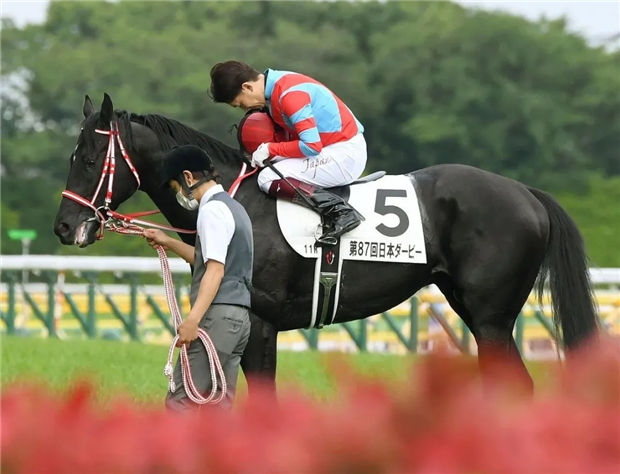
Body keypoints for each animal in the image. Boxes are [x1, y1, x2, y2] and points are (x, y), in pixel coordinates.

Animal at [54, 94, 599, 395]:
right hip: (474, 310)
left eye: (89, 157)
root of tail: (525, 192)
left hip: (490, 317)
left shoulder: (261, 323)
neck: (236, 198)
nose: (64, 227)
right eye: (73, 155)